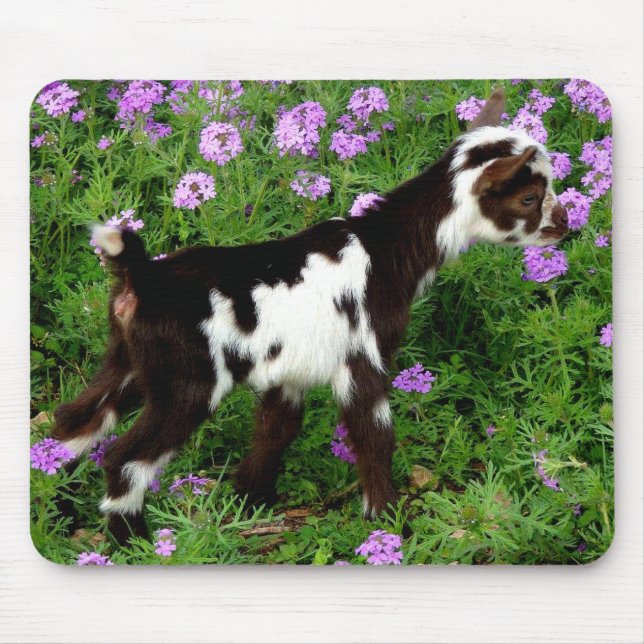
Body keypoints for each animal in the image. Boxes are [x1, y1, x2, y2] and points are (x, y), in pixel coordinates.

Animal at [51, 88, 568, 544]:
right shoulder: (363, 356)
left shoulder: (292, 368)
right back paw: (134, 544)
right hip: (188, 380)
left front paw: (248, 501)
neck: (384, 250)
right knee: (125, 458)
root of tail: (139, 275)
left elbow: (275, 430)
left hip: (129, 361)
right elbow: (374, 435)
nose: (564, 224)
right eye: (528, 198)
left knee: (75, 422)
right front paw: (387, 520)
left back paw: (55, 506)